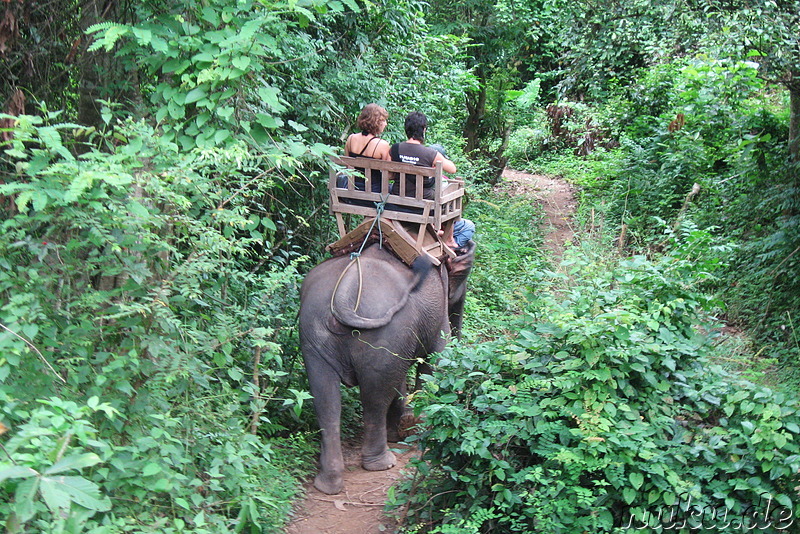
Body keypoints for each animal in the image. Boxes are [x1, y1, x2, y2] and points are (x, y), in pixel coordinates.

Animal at [300, 241, 476, 496]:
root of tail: (344, 295)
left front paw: (401, 430)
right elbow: (435, 360)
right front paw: (416, 430)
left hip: (314, 332)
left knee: (325, 397)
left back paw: (328, 483)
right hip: (384, 332)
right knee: (375, 397)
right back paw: (382, 463)